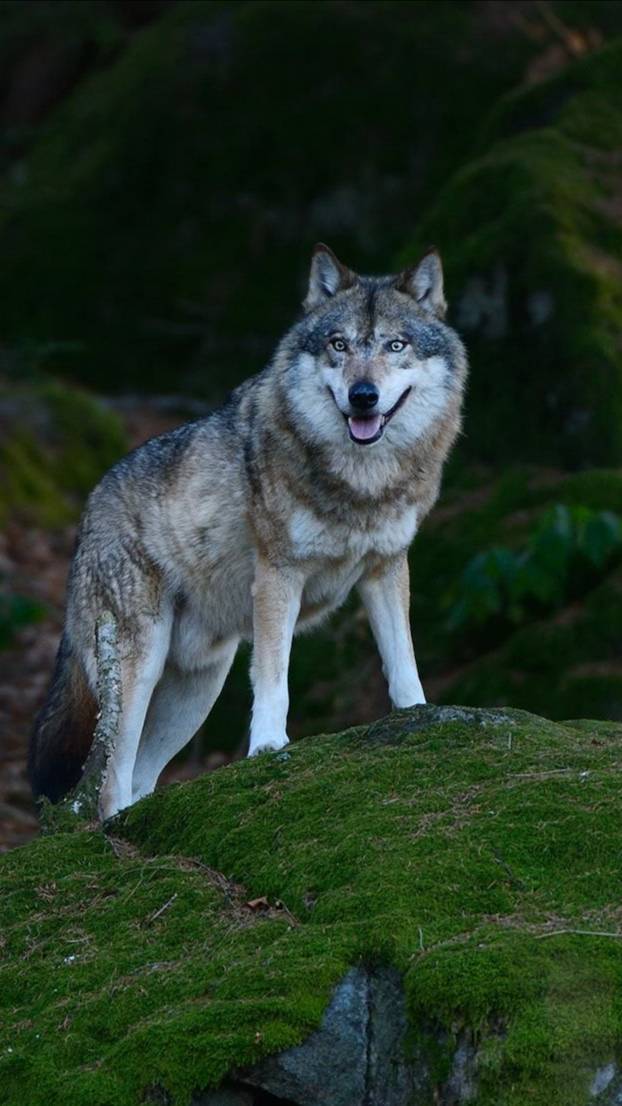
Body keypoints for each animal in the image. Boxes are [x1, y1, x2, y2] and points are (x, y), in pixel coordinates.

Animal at [29, 245, 467, 820]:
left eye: (396, 345)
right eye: (339, 344)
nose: (363, 396)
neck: (362, 483)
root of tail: (88, 510)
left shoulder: (385, 567)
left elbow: (403, 660)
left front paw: (420, 714)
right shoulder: (280, 576)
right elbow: (274, 676)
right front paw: (267, 746)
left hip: (196, 691)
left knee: (140, 778)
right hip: (137, 670)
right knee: (108, 784)